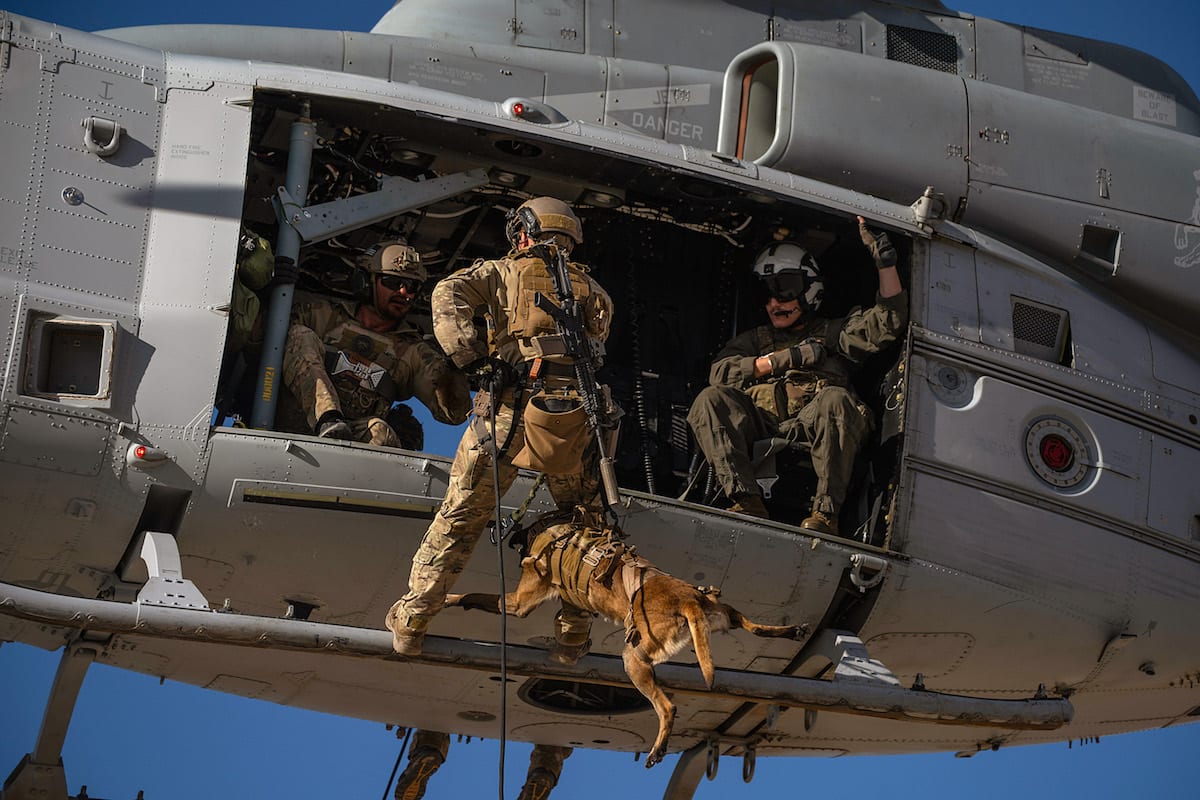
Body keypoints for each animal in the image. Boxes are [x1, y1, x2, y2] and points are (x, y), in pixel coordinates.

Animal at [448, 513, 806, 767]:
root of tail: (688, 599)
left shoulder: (520, 602)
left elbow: (477, 594)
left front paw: (450, 597)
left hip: (633, 658)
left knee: (667, 706)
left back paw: (658, 749)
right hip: (721, 613)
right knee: (752, 626)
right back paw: (791, 631)